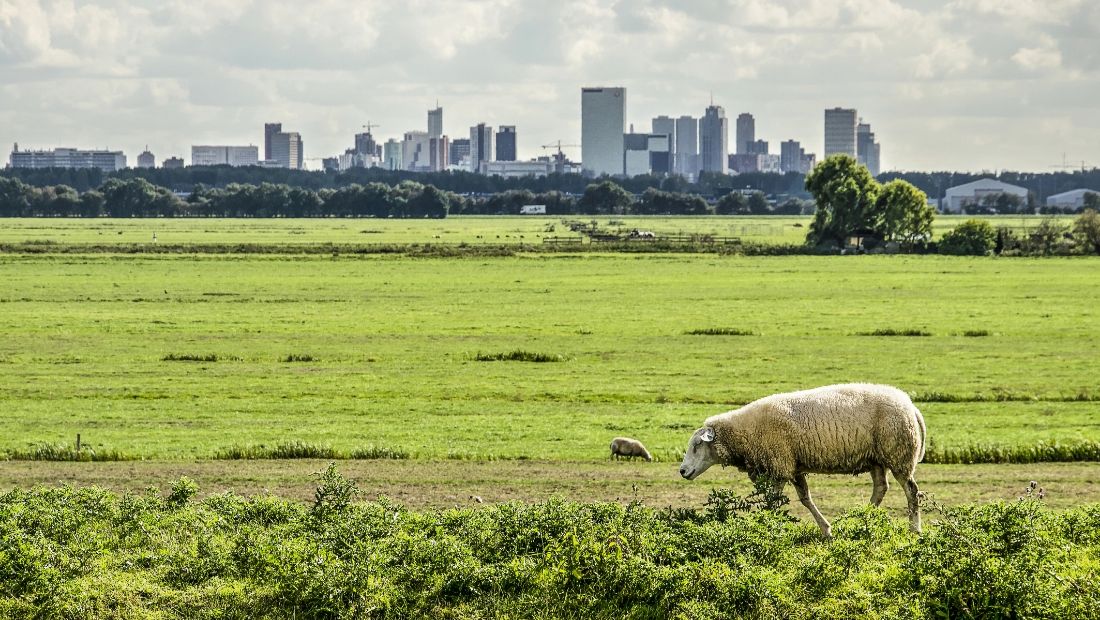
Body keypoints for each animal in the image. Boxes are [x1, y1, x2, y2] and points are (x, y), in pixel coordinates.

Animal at [677, 382, 928, 538]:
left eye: (697, 445)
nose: (682, 471)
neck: (745, 432)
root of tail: (909, 404)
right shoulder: (793, 466)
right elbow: (806, 499)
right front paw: (826, 530)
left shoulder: (779, 464)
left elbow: (772, 502)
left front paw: (766, 526)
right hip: (877, 458)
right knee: (880, 489)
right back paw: (858, 521)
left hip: (899, 453)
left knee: (911, 491)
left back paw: (914, 529)